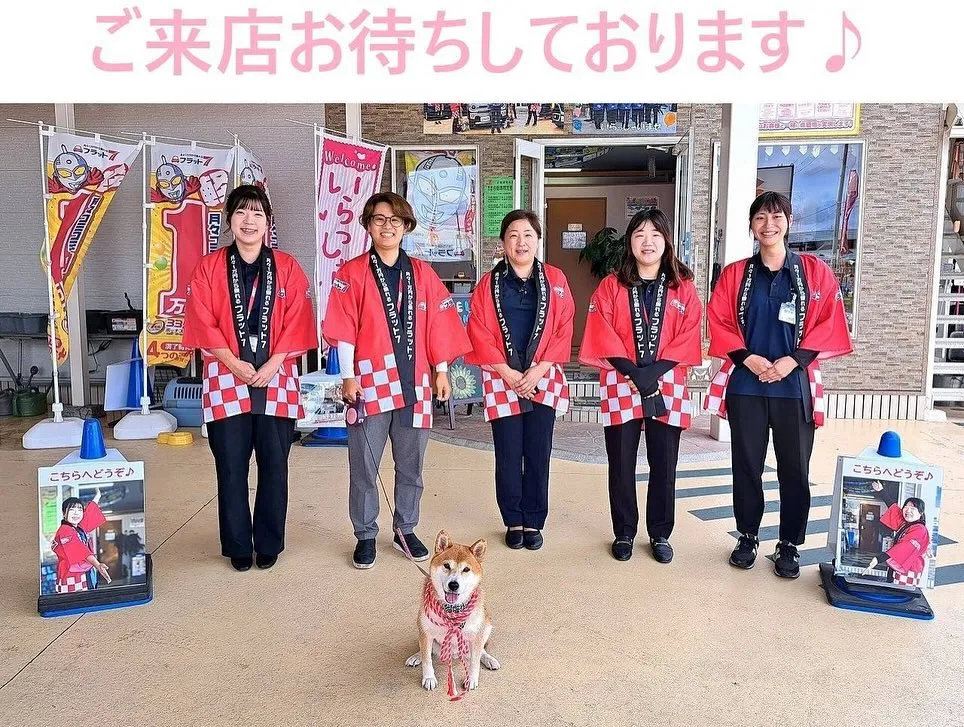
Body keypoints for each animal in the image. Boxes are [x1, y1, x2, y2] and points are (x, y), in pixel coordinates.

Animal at [402, 532, 500, 696]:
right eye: (447, 565)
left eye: (466, 569)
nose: (454, 585)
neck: (452, 610)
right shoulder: (426, 632)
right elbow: (427, 658)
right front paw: (429, 678)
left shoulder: (477, 634)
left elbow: (474, 661)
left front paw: (471, 679)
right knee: (425, 650)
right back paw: (416, 657)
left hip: (487, 626)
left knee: (481, 651)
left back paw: (489, 659)